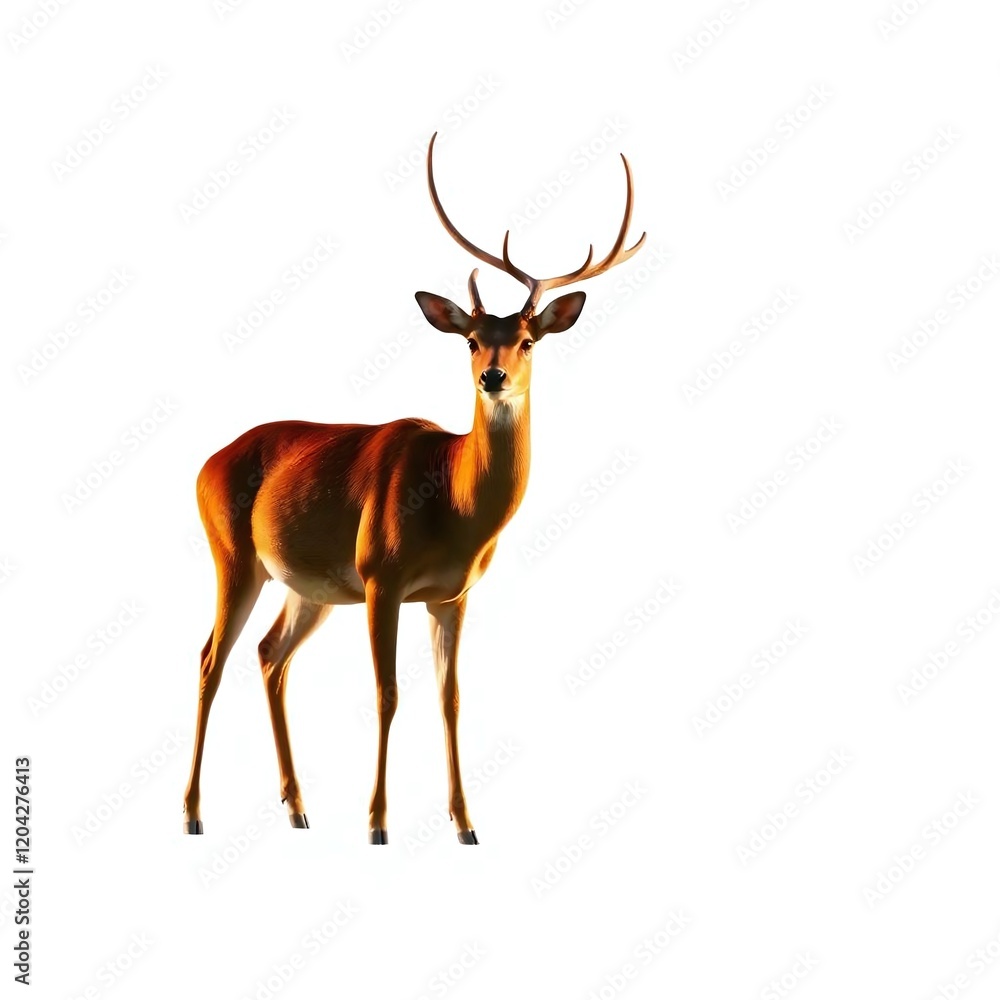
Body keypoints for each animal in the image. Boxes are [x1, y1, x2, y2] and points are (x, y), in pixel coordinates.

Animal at [182, 132, 644, 844]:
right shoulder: (382, 576)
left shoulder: (451, 596)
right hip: (234, 556)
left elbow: (450, 699)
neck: (453, 505)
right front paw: (377, 823)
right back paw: (195, 813)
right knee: (210, 658)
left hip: (307, 586)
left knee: (268, 655)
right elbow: (387, 693)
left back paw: (297, 808)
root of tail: (208, 461)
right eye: (472, 339)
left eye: (529, 340)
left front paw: (466, 824)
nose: (492, 377)